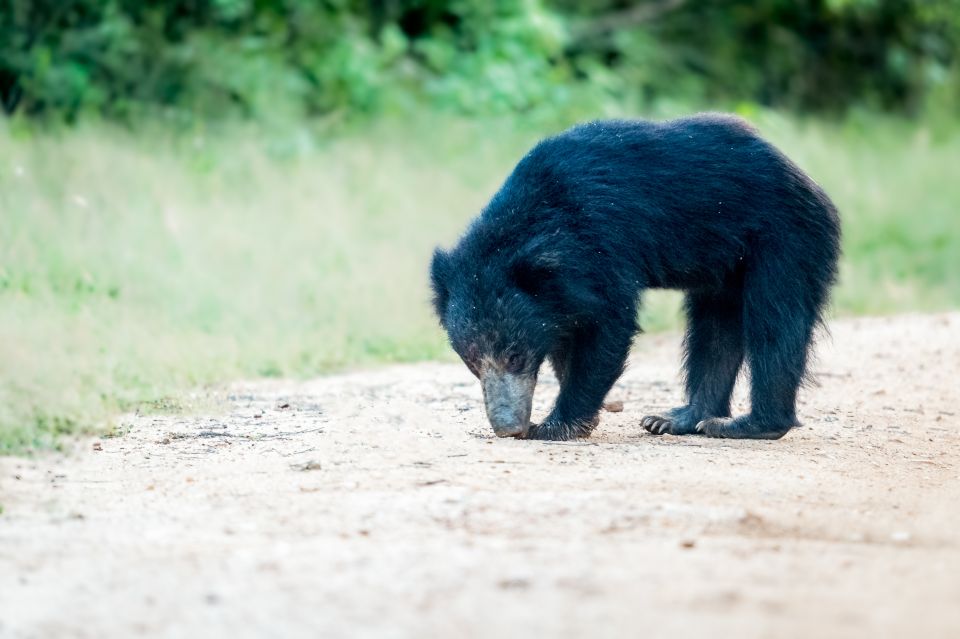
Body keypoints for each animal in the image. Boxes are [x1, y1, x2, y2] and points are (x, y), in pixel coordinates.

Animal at [428, 114, 840, 440]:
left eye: (515, 355)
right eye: (472, 361)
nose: (507, 427)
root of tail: (808, 181)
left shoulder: (603, 243)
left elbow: (610, 325)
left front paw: (554, 426)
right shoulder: (562, 289)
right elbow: (569, 332)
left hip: (784, 239)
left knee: (775, 323)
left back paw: (749, 425)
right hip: (727, 264)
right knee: (714, 331)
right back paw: (678, 419)